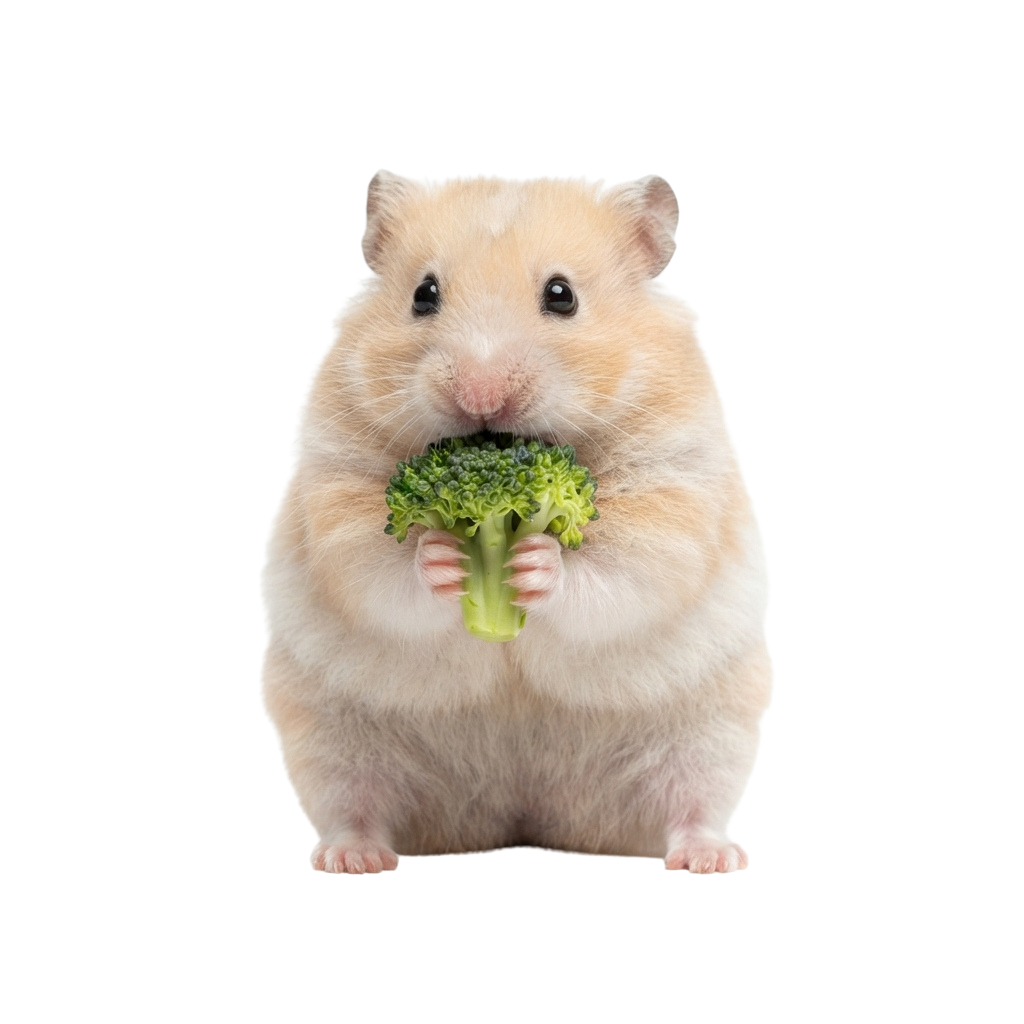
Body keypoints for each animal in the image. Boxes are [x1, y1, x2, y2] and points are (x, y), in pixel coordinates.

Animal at [259, 170, 773, 874]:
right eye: (423, 294)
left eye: (562, 296)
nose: (481, 396)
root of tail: (524, 817)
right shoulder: (333, 483)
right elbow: (375, 565)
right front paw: (442, 559)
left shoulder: (674, 485)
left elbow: (625, 567)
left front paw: (533, 566)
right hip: (327, 737)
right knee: (352, 807)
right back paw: (353, 858)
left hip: (711, 731)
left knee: (692, 805)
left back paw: (711, 857)